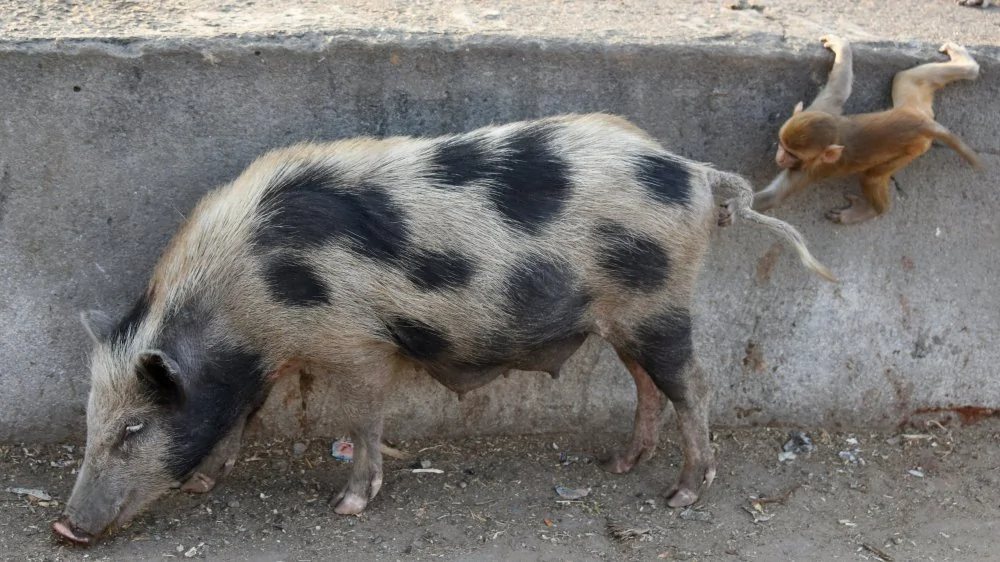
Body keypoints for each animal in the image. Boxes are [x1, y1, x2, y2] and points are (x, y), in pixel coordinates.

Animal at [53, 113, 833, 545]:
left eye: (133, 429)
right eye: (91, 422)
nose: (64, 526)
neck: (248, 294)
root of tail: (697, 175)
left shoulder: (358, 344)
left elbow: (362, 420)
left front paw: (347, 506)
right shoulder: (263, 363)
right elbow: (240, 416)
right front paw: (202, 487)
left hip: (660, 303)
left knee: (693, 385)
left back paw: (682, 495)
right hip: (626, 317)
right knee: (648, 385)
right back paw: (617, 465)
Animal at [719, 35, 981, 226]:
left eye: (793, 154)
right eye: (782, 145)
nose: (780, 157)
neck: (836, 134)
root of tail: (925, 124)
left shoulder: (806, 171)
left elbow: (774, 197)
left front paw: (737, 206)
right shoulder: (822, 109)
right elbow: (839, 89)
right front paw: (841, 46)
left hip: (913, 149)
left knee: (872, 177)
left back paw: (873, 210)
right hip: (913, 101)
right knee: (904, 76)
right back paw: (967, 65)